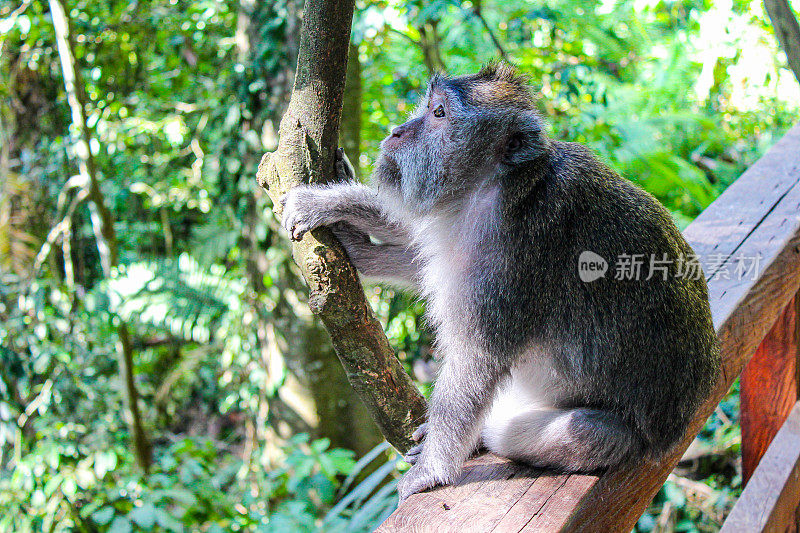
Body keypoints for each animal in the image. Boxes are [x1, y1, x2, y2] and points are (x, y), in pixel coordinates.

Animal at [280, 64, 720, 500]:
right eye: (428, 106)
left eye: (439, 113)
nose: (396, 131)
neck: (501, 182)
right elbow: (422, 248)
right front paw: (338, 213)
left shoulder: (515, 250)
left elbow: (477, 358)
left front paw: (431, 469)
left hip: (627, 438)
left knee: (586, 434)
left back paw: (485, 435)